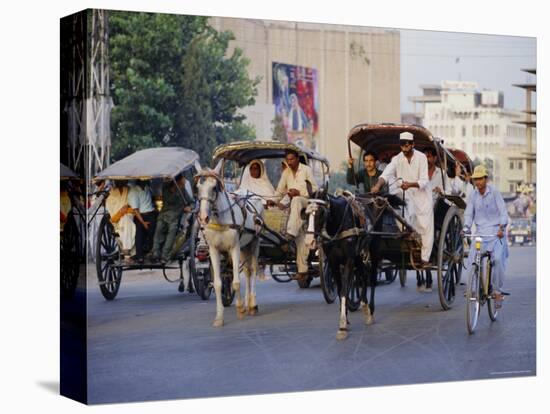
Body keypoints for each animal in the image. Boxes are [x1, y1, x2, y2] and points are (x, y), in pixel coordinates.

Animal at [195, 161, 266, 326]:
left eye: (214, 187)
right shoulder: (213, 250)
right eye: (197, 188)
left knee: (253, 269)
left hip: (254, 242)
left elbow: (236, 282)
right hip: (245, 246)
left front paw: (240, 309)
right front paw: (219, 317)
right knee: (247, 271)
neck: (221, 219)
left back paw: (252, 305)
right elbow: (218, 283)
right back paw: (248, 304)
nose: (203, 217)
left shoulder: (234, 248)